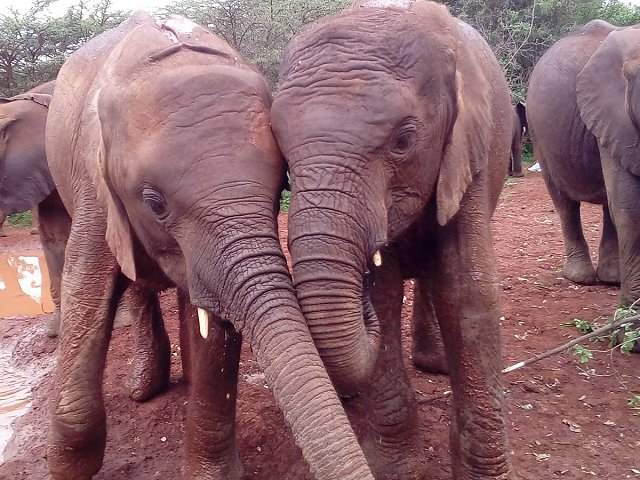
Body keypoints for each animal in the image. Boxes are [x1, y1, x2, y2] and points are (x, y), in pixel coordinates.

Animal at [45, 12, 373, 480]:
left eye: (282, 186)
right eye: (154, 203)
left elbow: (215, 331)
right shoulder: (92, 186)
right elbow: (87, 294)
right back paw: (143, 389)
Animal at [271, 1, 514, 478]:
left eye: (404, 140)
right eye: (281, 153)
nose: (361, 274)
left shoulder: (468, 154)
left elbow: (468, 293)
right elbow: (384, 299)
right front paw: (391, 467)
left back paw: (434, 364)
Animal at [527, 20, 640, 304]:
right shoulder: (615, 114)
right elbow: (630, 207)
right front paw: (632, 306)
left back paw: (611, 279)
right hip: (539, 132)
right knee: (564, 202)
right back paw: (579, 278)